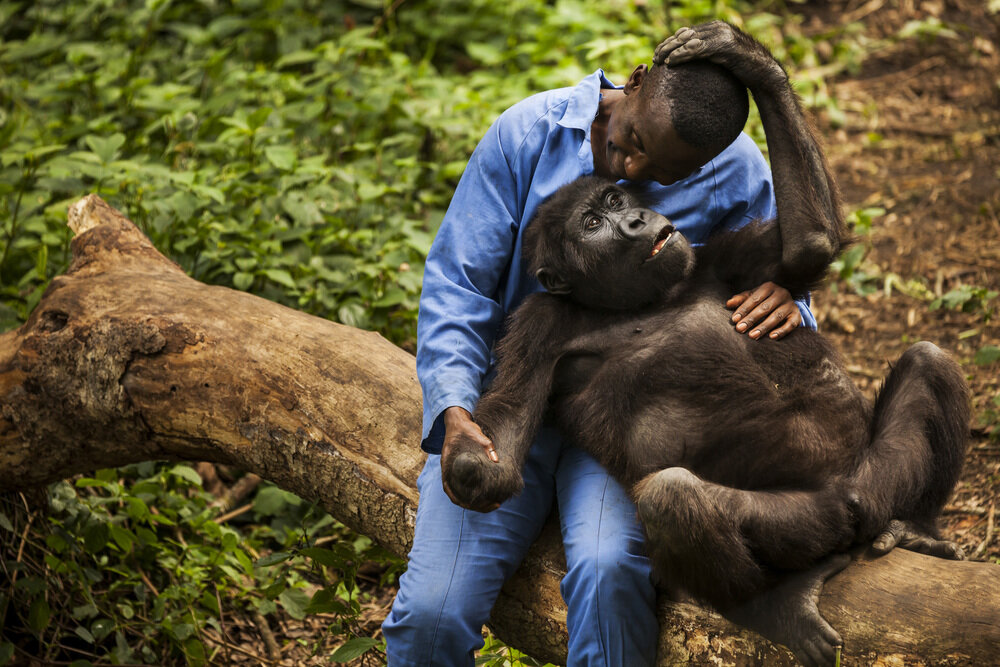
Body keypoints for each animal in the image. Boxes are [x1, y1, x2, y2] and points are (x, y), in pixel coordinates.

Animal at [444, 20, 968, 667]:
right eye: (591, 225)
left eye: (616, 203)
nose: (637, 221)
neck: (632, 300)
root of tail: (858, 503)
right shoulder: (538, 330)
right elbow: (508, 435)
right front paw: (465, 450)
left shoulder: (715, 253)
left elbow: (806, 249)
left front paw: (740, 54)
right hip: (810, 522)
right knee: (672, 499)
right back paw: (773, 604)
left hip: (877, 477)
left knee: (930, 362)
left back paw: (918, 525)